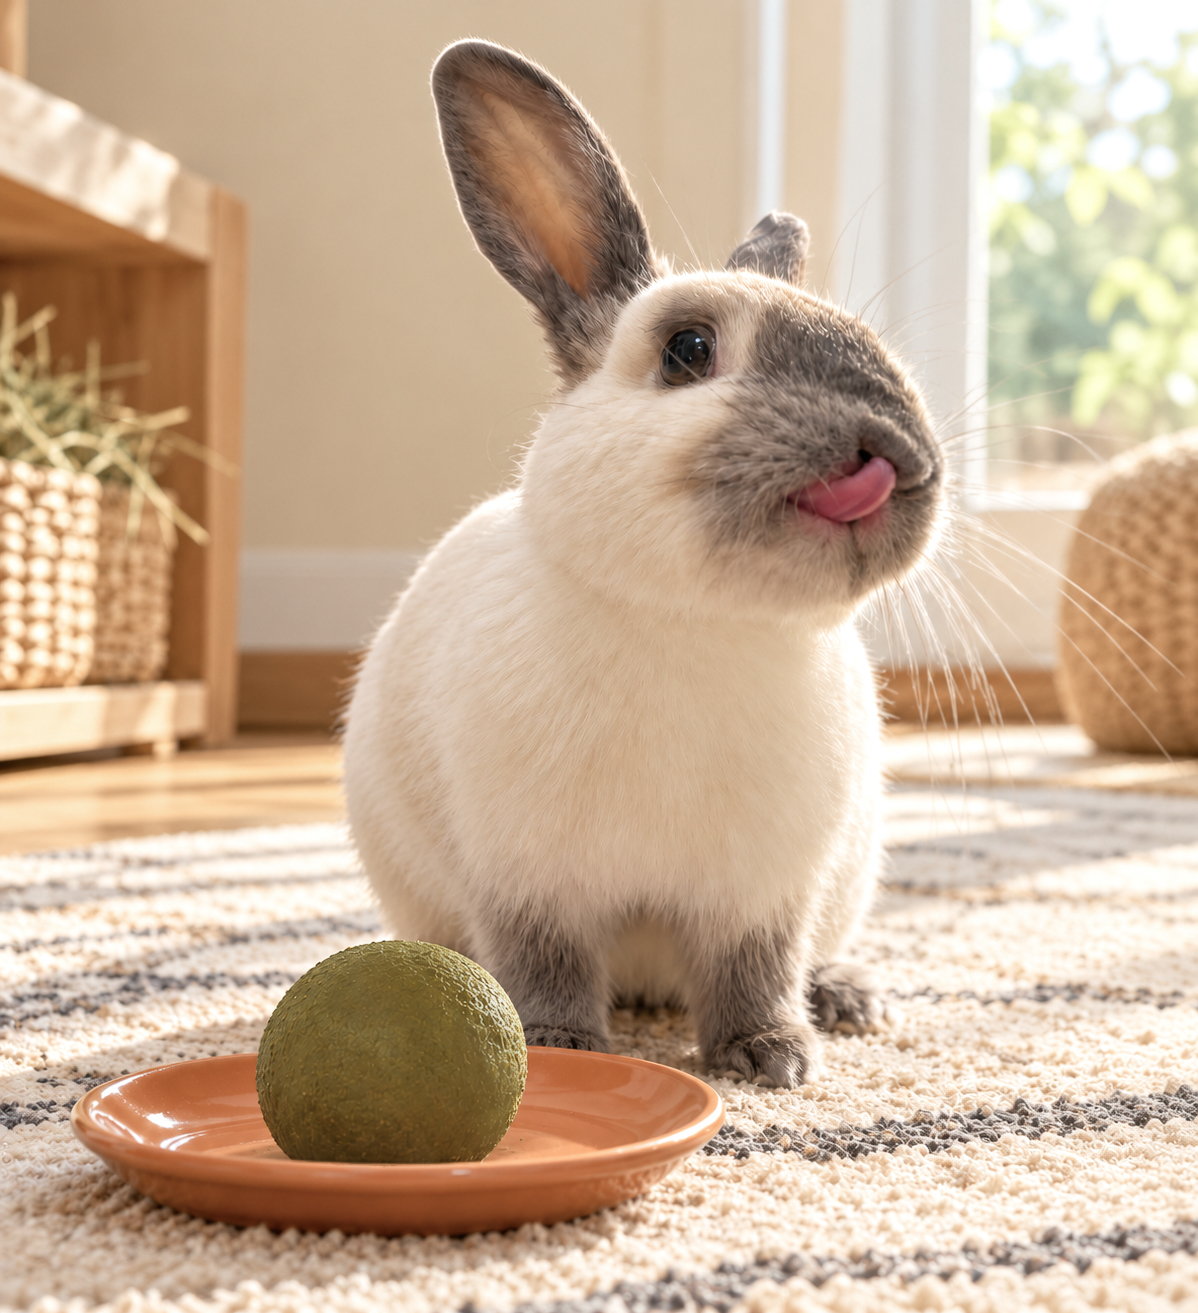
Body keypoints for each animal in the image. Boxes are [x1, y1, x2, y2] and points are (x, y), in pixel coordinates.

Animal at [342, 38, 944, 1088]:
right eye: (688, 349)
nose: (899, 454)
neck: (693, 623)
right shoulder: (529, 875)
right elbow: (544, 960)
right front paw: (559, 1043)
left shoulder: (763, 887)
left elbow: (754, 967)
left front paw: (771, 1056)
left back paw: (847, 998)